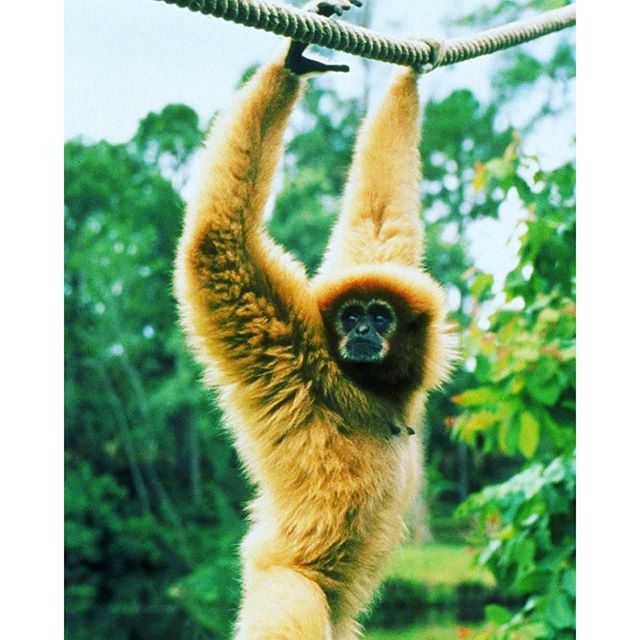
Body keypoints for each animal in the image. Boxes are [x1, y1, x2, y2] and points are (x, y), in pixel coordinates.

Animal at [173, 1, 456, 637]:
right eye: (350, 316)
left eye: (379, 315)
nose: (361, 331)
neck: (372, 393)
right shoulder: (295, 352)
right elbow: (219, 245)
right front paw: (292, 58)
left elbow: (378, 217)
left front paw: (412, 75)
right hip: (286, 585)